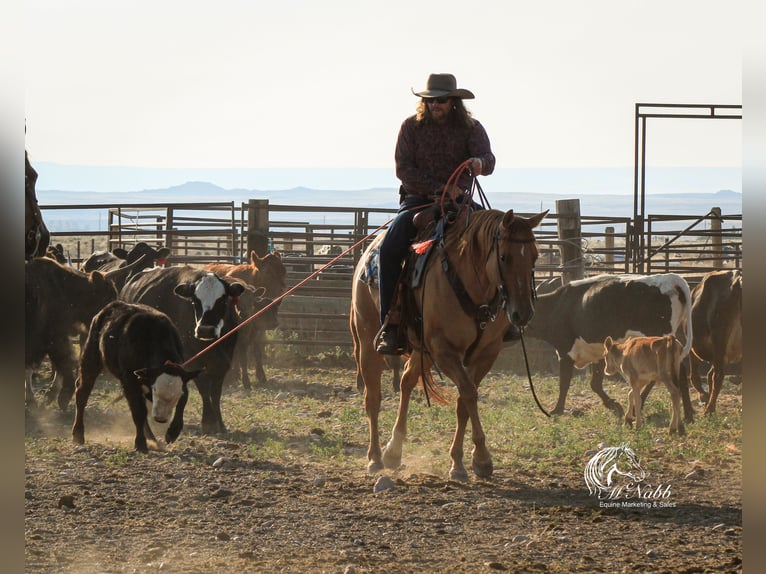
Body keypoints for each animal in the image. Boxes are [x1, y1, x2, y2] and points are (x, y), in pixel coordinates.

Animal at [71, 302, 201, 454]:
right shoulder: (129, 381)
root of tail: (112, 306)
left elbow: (181, 403)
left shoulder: (182, 381)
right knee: (82, 392)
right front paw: (140, 443)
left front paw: (172, 432)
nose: (161, 419)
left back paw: (153, 439)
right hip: (91, 358)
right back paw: (78, 434)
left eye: (177, 394)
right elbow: (138, 412)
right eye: (155, 390)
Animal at [120, 268, 250, 434]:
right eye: (195, 301)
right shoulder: (192, 360)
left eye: (222, 300)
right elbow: (204, 387)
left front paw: (220, 423)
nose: (205, 330)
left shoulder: (224, 361)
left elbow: (216, 391)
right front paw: (208, 421)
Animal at [204, 252, 288, 392]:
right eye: (267, 272)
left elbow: (256, 352)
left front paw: (260, 375)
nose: (283, 289)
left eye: (283, 270)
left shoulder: (257, 331)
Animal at [356, 207, 548, 482]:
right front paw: (482, 458)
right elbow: (468, 393)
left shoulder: (486, 353)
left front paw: (461, 461)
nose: (523, 313)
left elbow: (464, 401)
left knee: (406, 381)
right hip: (366, 339)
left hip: (421, 349)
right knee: (372, 397)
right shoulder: (444, 351)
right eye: (504, 257)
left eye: (534, 255)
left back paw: (393, 451)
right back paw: (375, 458)